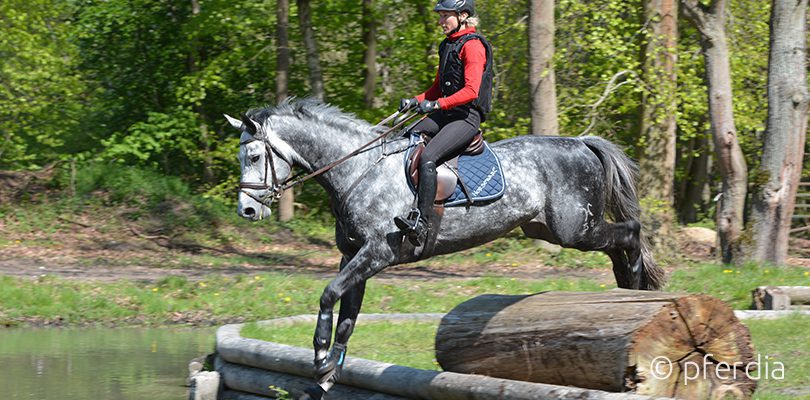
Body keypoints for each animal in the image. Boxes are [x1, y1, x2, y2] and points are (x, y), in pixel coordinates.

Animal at [226, 98, 664, 398]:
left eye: (254, 155)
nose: (247, 210)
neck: (357, 171)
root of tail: (582, 142)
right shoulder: (353, 257)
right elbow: (347, 314)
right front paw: (329, 373)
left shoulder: (377, 255)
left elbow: (328, 294)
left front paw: (318, 358)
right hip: (554, 230)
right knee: (618, 244)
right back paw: (626, 292)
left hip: (574, 228)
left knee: (630, 232)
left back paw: (637, 290)